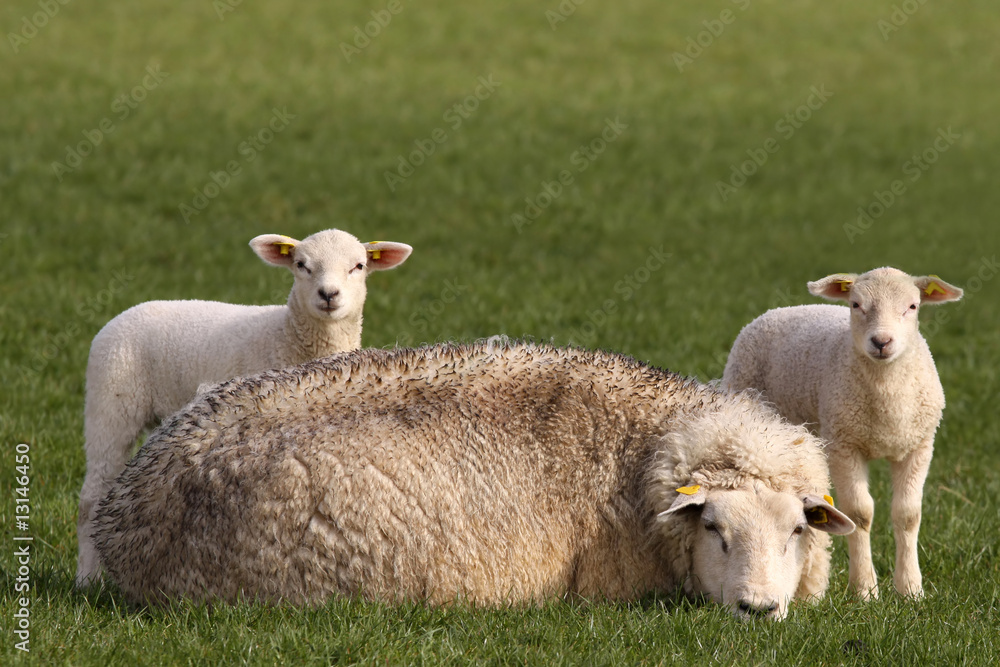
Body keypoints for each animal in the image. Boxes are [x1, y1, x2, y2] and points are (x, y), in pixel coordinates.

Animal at [76, 229, 412, 587]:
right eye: (301, 265)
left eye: (358, 266)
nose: (328, 294)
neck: (286, 336)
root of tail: (122, 315)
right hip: (110, 404)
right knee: (92, 496)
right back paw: (87, 579)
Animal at [721, 267, 963, 600]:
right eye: (856, 304)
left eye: (912, 306)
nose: (881, 341)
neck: (888, 398)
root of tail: (779, 310)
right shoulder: (844, 445)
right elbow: (859, 513)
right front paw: (864, 590)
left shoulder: (919, 447)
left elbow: (908, 514)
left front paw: (911, 590)